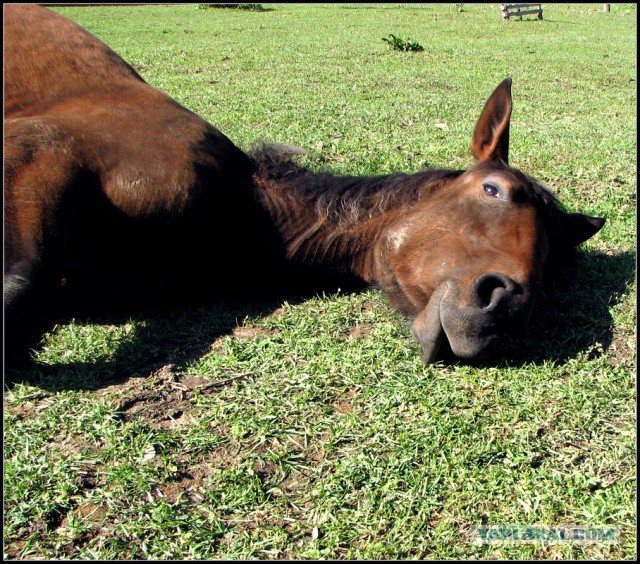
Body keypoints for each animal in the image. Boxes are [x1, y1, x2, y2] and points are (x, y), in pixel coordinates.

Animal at [6, 4, 604, 364]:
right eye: (493, 190)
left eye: (551, 263)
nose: (503, 308)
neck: (238, 209)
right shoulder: (41, 146)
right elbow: (21, 286)